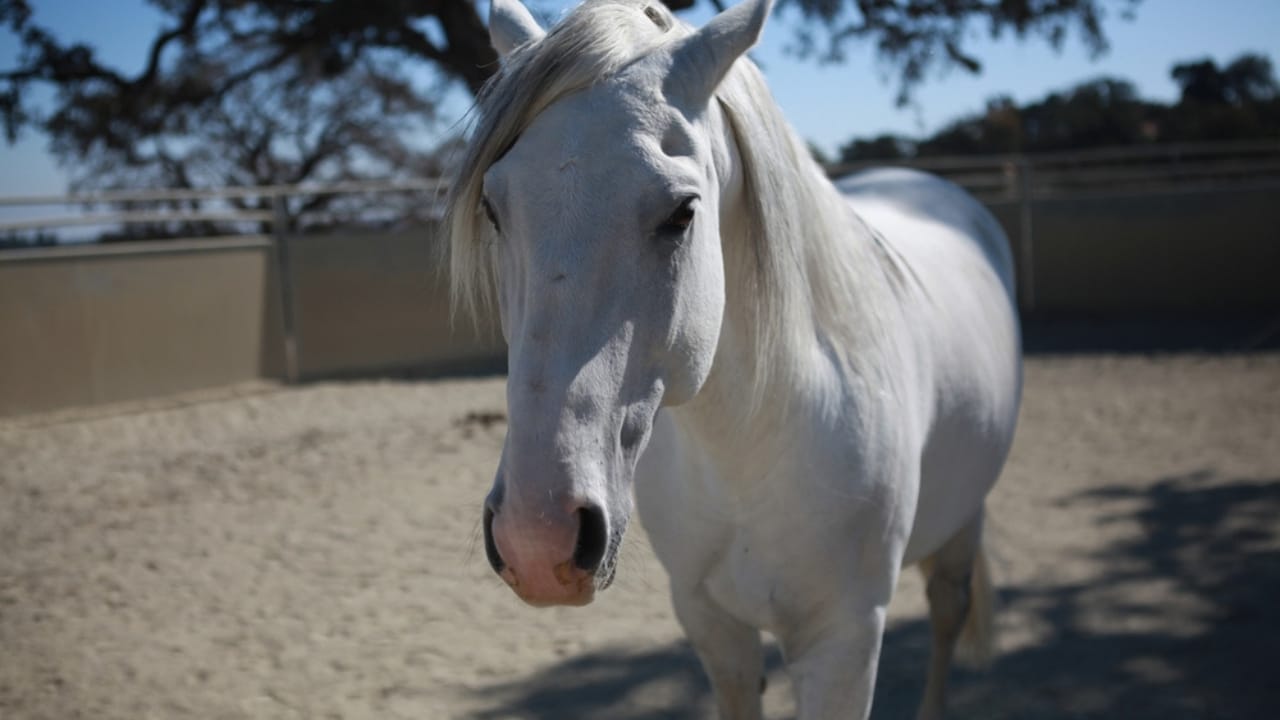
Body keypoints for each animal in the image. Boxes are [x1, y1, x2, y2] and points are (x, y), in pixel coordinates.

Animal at [446, 1, 1022, 717]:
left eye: (682, 210)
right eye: (494, 205)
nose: (536, 536)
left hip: (962, 523)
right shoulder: (713, 628)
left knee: (947, 613)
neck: (751, 448)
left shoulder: (844, 645)